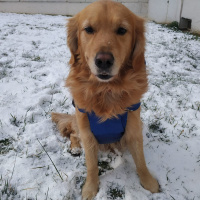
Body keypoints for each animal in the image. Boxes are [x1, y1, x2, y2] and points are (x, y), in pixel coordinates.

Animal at [52, 0, 159, 199]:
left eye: (122, 30)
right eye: (88, 29)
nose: (103, 60)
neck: (106, 90)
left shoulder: (134, 127)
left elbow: (141, 160)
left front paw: (148, 182)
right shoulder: (87, 131)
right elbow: (91, 166)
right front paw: (90, 188)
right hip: (78, 122)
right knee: (73, 134)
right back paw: (75, 147)